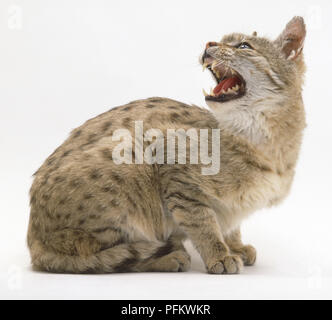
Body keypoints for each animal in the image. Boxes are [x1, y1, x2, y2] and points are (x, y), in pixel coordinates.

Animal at [27, 16, 306, 274]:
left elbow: (231, 225)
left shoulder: (230, 203)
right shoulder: (176, 172)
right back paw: (169, 257)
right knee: (108, 257)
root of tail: (33, 237)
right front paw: (219, 254)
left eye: (245, 45)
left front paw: (235, 246)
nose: (209, 43)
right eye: (222, 40)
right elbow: (203, 223)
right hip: (128, 167)